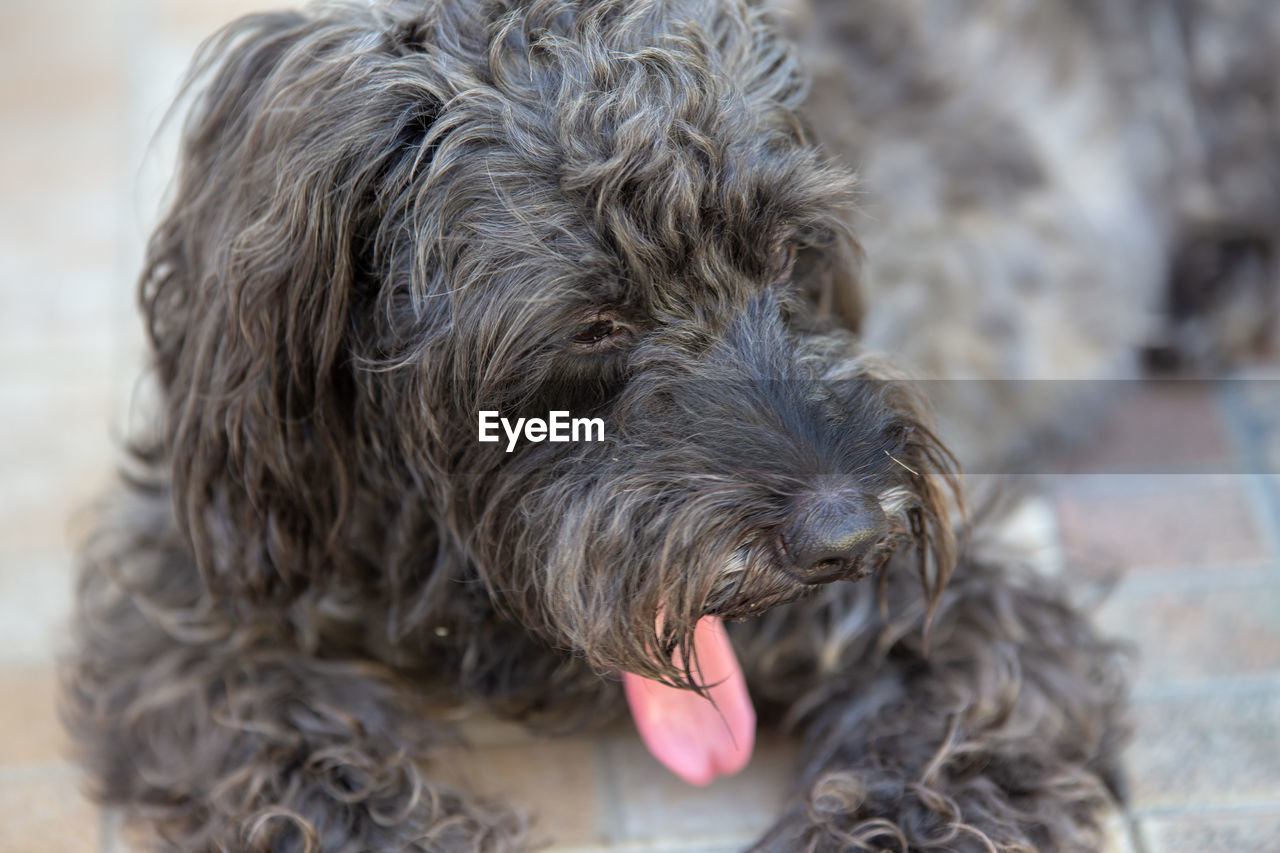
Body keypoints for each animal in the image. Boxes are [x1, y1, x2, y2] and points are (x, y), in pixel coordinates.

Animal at [64, 0, 1280, 845]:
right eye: (595, 319)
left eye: (790, 252)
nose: (852, 535)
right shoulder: (191, 595)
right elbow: (286, 754)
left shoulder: (979, 609)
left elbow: (944, 748)